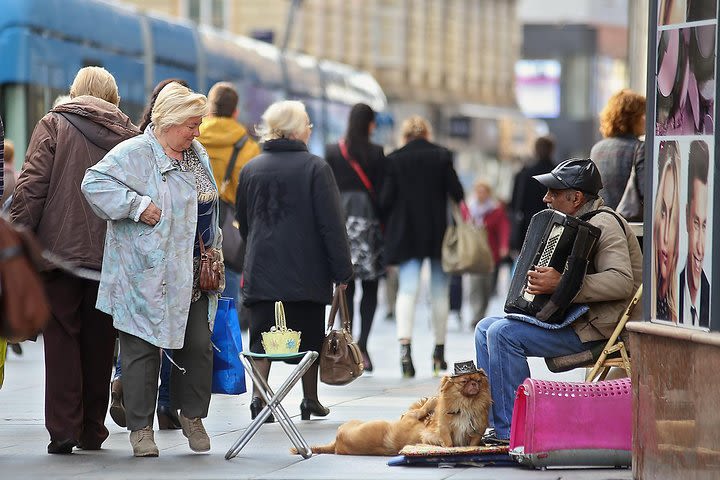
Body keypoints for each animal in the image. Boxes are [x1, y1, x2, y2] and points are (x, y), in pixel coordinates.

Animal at [292, 362, 490, 456]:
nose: (474, 383)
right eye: (465, 380)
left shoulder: (411, 417)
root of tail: (336, 444)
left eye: (477, 380)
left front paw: (432, 402)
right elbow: (425, 408)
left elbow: (423, 408)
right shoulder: (413, 418)